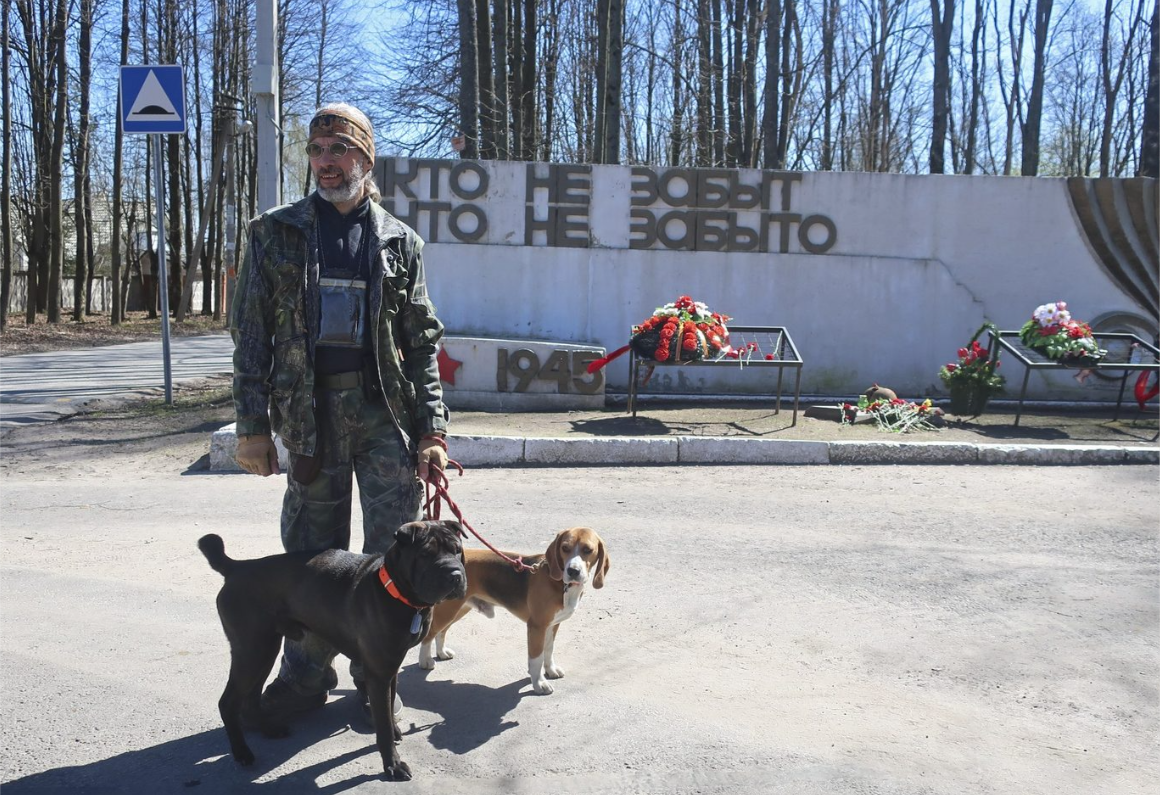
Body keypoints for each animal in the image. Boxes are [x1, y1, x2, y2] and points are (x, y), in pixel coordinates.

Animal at [199, 517, 466, 779]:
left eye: (457, 550)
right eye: (426, 554)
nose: (455, 574)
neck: (397, 592)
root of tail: (236, 568)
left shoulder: (391, 667)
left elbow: (389, 709)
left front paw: (394, 733)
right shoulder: (379, 671)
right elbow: (383, 724)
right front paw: (393, 764)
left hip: (263, 649)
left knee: (251, 696)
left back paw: (267, 729)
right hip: (252, 649)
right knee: (229, 702)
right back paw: (242, 752)